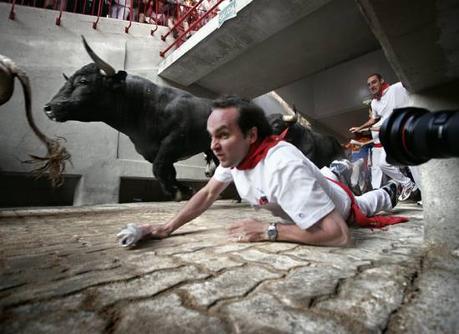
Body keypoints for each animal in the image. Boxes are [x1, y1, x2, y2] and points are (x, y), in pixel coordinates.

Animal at [45, 38, 217, 201]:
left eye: (83, 81)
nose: (48, 107)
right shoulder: (152, 152)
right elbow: (168, 172)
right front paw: (184, 190)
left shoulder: (173, 142)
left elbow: (159, 168)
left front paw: (177, 192)